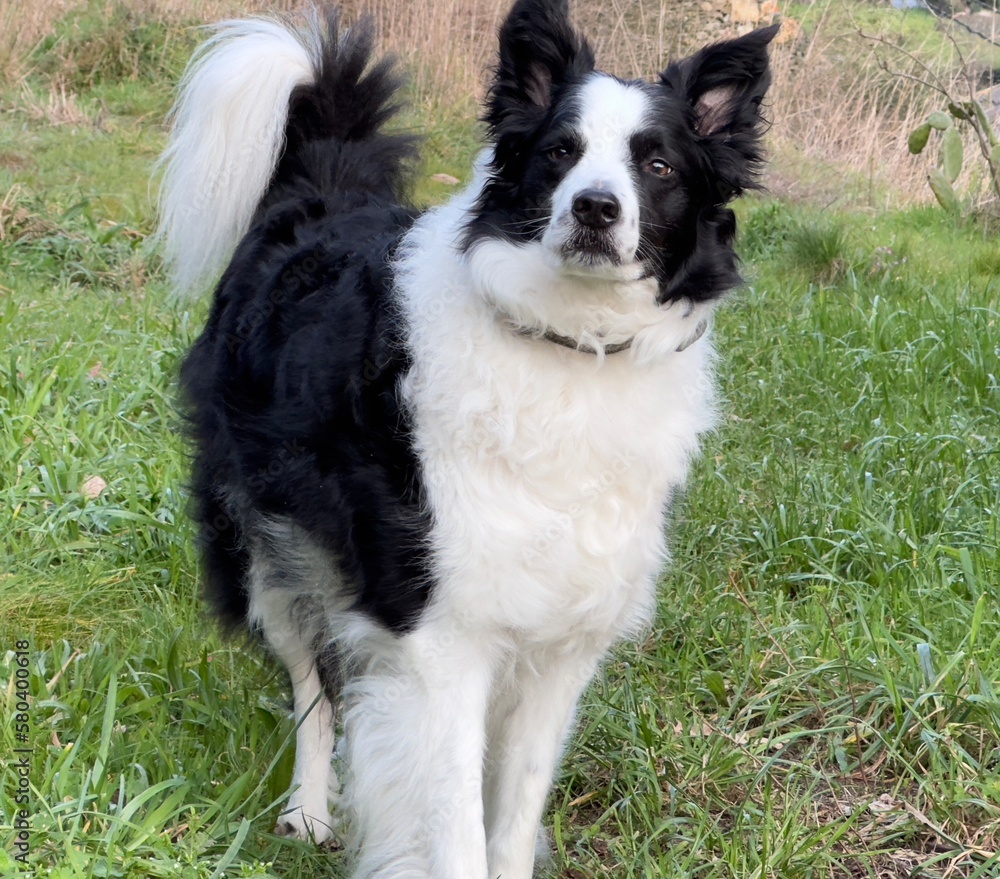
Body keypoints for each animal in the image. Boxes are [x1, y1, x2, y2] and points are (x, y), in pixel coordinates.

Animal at [158, 3, 780, 876]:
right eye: (560, 151)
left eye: (657, 165)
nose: (595, 208)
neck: (571, 347)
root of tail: (322, 186)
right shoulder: (439, 635)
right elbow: (453, 826)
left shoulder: (562, 647)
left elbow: (512, 814)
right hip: (264, 551)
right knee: (314, 686)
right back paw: (308, 809)